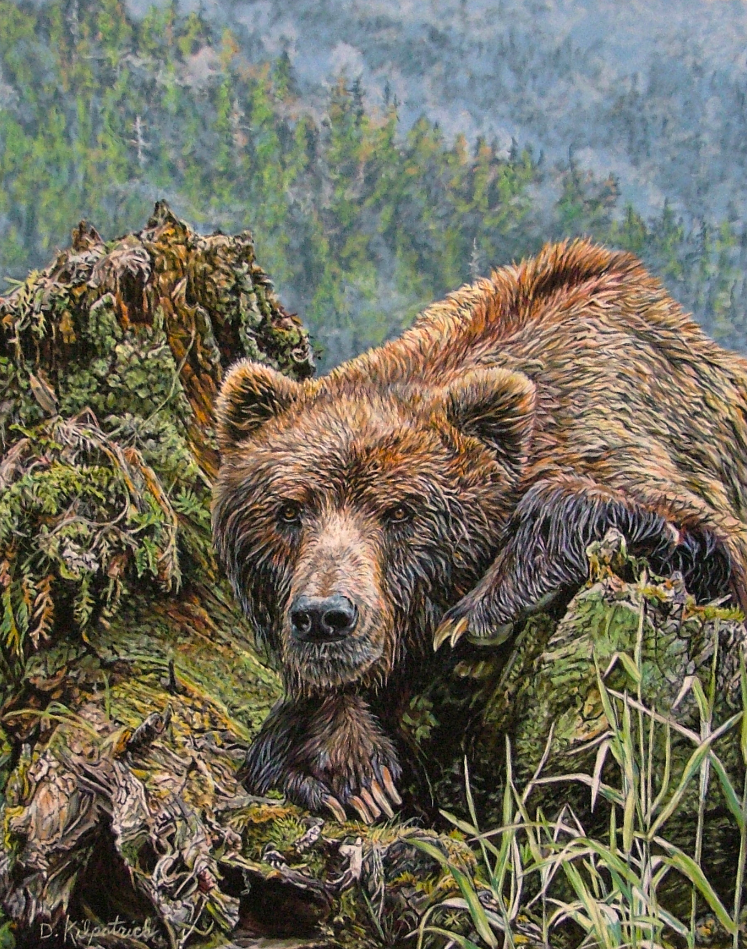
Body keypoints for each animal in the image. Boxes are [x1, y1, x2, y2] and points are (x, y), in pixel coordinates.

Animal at [212, 238, 747, 823]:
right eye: (289, 511)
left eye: (400, 512)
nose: (324, 617)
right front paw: (348, 769)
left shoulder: (646, 433)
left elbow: (700, 540)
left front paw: (478, 612)